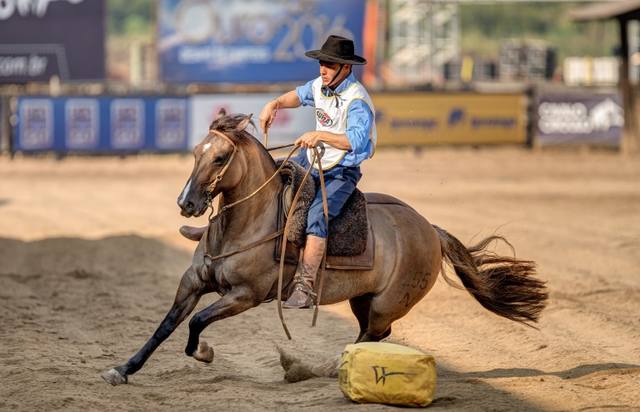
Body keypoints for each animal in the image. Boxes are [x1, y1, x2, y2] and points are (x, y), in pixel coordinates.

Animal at [102, 113, 548, 386]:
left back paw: (327, 368)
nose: (187, 203)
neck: (246, 224)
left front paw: (206, 353)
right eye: (197, 152)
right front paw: (123, 369)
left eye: (222, 156)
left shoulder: (245, 295)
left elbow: (197, 323)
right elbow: (165, 326)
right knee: (373, 335)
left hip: (387, 303)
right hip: (363, 299)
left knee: (372, 335)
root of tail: (430, 230)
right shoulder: (193, 281)